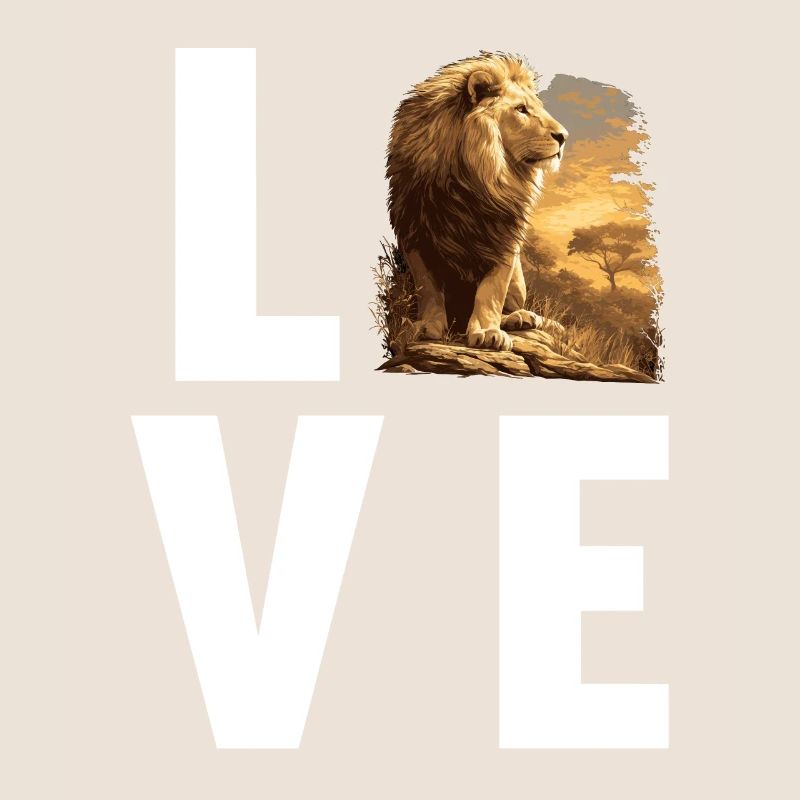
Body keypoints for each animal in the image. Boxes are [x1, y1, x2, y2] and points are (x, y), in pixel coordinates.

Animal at [387, 52, 568, 350]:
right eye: (521, 109)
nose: (563, 136)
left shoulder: (504, 234)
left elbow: (492, 290)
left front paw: (486, 332)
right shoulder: (413, 230)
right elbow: (428, 288)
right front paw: (427, 326)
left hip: (519, 282)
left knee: (512, 305)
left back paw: (519, 318)